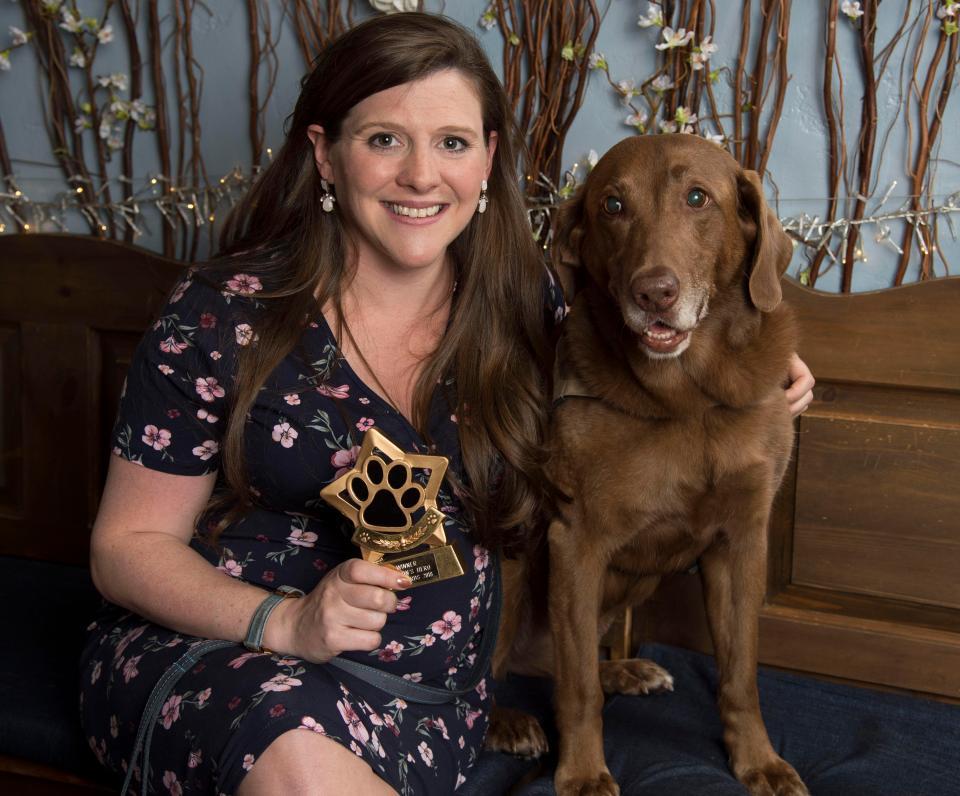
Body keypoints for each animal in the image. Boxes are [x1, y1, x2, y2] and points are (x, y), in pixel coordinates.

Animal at [492, 134, 808, 792]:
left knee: (551, 661)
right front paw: (583, 772)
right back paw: (506, 722)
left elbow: (740, 673)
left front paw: (758, 760)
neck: (690, 399)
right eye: (612, 206)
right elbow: (579, 689)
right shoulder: (576, 543)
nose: (653, 293)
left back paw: (627, 671)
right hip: (511, 564)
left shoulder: (742, 542)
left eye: (698, 199)